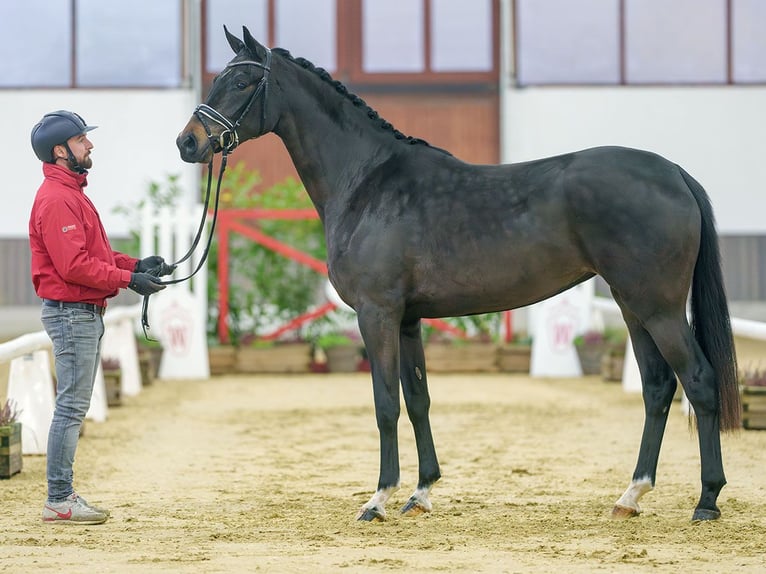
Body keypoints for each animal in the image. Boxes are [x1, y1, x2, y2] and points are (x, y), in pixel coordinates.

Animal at [178, 29, 744, 528]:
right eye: (217, 78)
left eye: (243, 81)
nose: (188, 142)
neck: (366, 182)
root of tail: (674, 173)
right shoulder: (407, 321)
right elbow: (418, 399)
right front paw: (421, 493)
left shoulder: (377, 315)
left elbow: (386, 403)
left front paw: (378, 500)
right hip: (631, 305)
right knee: (657, 387)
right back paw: (630, 496)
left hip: (658, 307)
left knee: (698, 380)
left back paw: (706, 500)